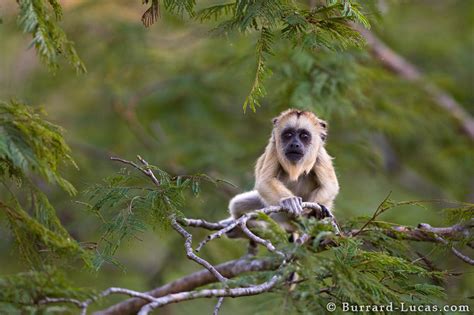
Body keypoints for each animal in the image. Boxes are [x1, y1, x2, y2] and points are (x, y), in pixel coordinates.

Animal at [228, 109, 338, 239]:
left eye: (304, 136)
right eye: (288, 135)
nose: (294, 144)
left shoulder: (320, 154)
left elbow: (330, 186)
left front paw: (314, 211)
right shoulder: (273, 149)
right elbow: (266, 181)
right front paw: (289, 201)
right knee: (236, 205)